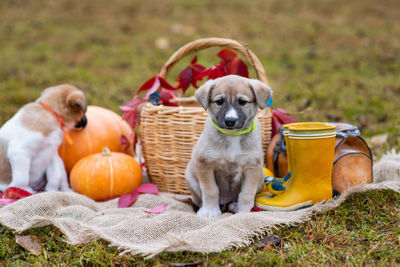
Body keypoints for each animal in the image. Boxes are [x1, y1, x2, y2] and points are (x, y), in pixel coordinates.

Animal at [186, 75, 274, 218]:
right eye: (219, 101)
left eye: (242, 102)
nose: (230, 121)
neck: (233, 136)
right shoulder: (205, 164)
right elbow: (210, 190)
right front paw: (210, 211)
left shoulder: (252, 167)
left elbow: (246, 193)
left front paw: (244, 211)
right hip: (190, 176)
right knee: (199, 200)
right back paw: (203, 209)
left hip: (261, 176)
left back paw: (234, 206)